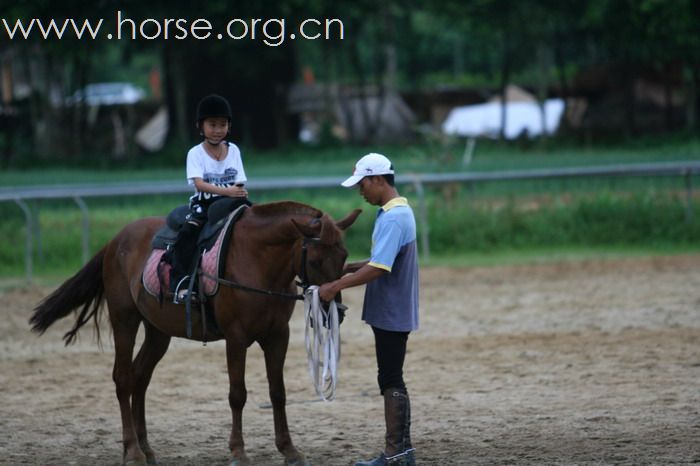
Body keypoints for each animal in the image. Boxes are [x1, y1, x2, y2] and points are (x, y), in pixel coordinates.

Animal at [28, 201, 360, 466]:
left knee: (139, 378)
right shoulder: (236, 338)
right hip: (125, 319)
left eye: (344, 256)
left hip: (158, 331)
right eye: (315, 260)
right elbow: (237, 395)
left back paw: (146, 448)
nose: (335, 309)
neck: (256, 260)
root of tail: (115, 241)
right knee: (123, 379)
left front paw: (289, 450)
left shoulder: (278, 336)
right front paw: (238, 452)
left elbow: (278, 393)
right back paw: (133, 451)